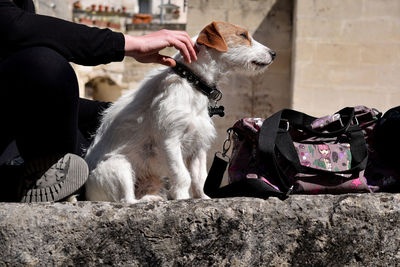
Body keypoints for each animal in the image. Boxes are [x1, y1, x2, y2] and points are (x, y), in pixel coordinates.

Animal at [84, 22, 276, 203]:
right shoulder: (170, 141)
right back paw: (147, 199)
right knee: (126, 199)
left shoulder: (199, 146)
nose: (274, 53)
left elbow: (199, 178)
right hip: (119, 166)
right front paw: (183, 197)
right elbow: (183, 176)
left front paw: (203, 198)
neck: (192, 82)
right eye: (242, 35)